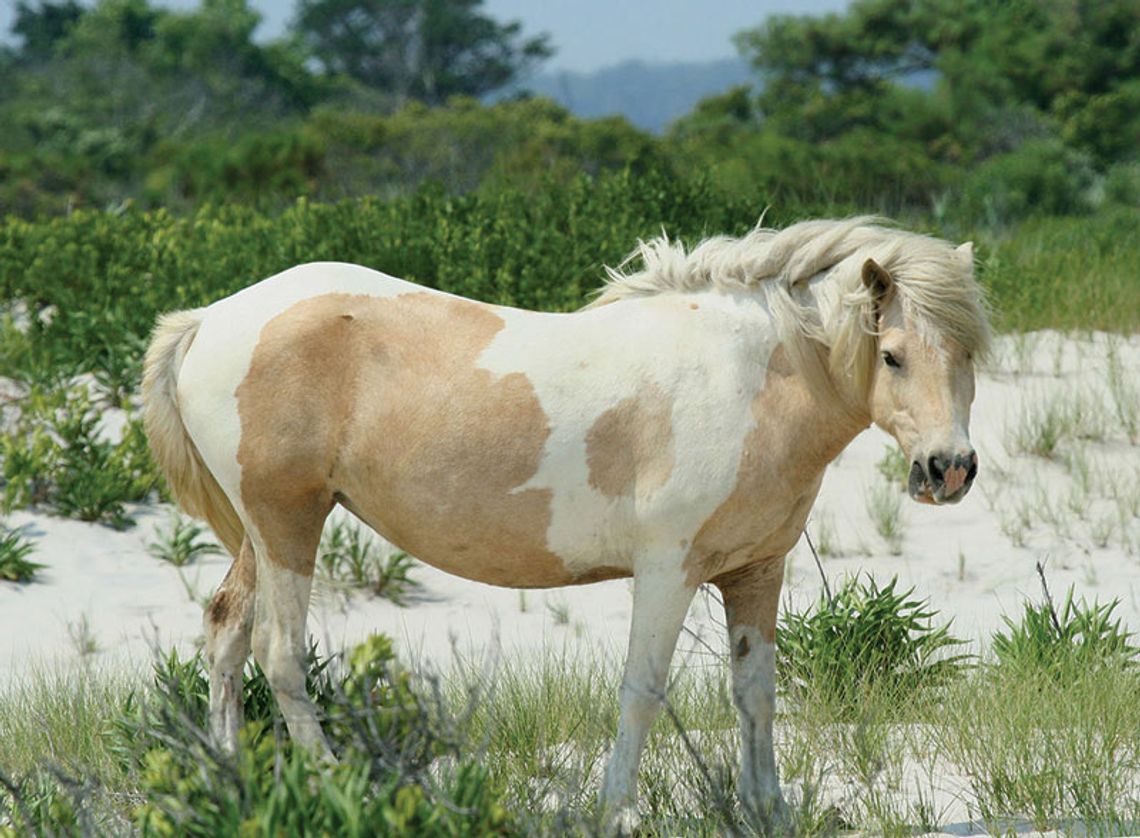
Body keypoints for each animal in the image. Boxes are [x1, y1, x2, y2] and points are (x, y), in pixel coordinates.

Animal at [140, 213, 989, 830]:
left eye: (968, 356)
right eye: (893, 355)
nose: (949, 469)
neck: (748, 378)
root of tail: (211, 318)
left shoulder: (757, 570)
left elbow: (756, 694)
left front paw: (769, 812)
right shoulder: (668, 570)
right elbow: (642, 690)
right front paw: (617, 813)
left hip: (262, 532)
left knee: (226, 634)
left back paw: (233, 788)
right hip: (287, 524)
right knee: (280, 656)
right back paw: (336, 789)